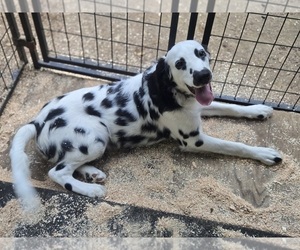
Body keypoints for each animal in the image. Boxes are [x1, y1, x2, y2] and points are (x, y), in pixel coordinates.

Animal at [8, 40, 282, 210]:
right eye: (179, 63)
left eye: (200, 53)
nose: (203, 75)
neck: (169, 89)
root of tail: (37, 121)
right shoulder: (194, 140)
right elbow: (235, 145)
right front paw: (264, 153)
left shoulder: (199, 106)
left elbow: (231, 107)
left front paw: (257, 110)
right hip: (96, 136)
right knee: (57, 172)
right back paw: (91, 189)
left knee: (65, 164)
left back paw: (93, 173)